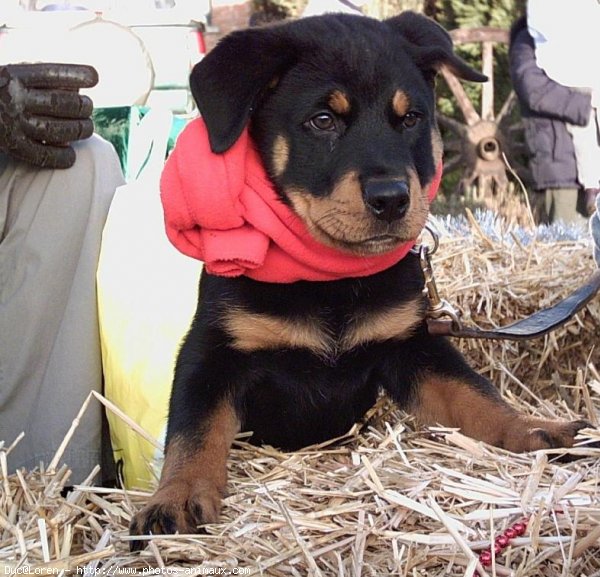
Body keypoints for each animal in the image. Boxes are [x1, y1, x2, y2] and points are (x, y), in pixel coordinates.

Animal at [129, 11, 588, 544]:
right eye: (323, 120)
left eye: (410, 118)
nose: (391, 198)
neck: (329, 278)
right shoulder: (212, 350)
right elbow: (194, 428)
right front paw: (176, 496)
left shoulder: (413, 344)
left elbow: (475, 395)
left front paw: (533, 429)